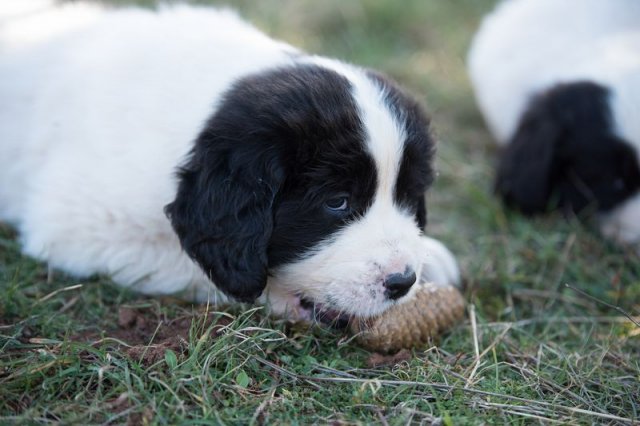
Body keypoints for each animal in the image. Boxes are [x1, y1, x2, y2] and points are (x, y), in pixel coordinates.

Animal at [0, 2, 460, 324]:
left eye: (407, 196)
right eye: (337, 202)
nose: (402, 281)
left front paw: (431, 255)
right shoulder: (76, 225)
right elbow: (197, 262)